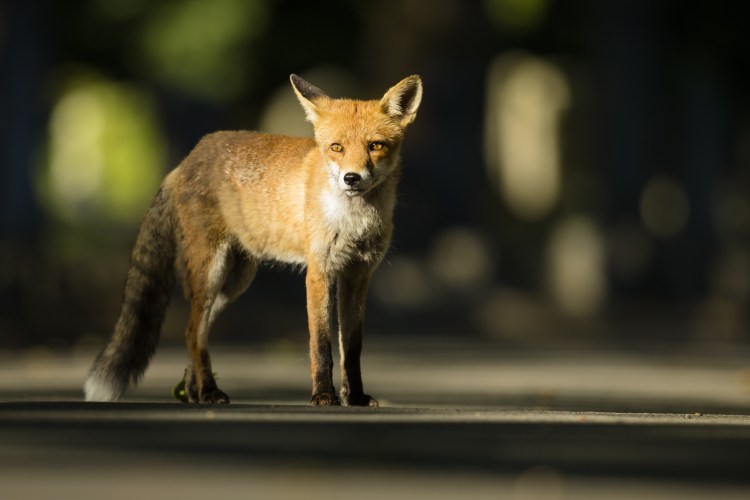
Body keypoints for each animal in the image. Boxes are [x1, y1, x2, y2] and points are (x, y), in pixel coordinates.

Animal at [84, 73, 422, 406]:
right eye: (336, 147)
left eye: (375, 145)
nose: (351, 178)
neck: (354, 221)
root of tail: (186, 160)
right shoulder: (319, 272)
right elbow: (322, 344)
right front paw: (323, 395)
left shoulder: (358, 275)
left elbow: (352, 347)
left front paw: (355, 396)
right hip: (211, 272)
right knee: (193, 332)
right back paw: (209, 391)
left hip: (234, 282)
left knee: (198, 332)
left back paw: (194, 391)